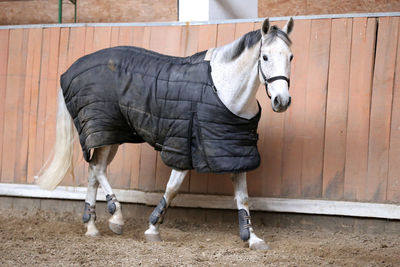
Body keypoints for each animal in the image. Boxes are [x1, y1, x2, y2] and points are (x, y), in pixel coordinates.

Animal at [37, 17, 294, 251]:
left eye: (290, 56)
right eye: (265, 57)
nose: (282, 101)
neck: (221, 88)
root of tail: (69, 71)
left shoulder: (234, 151)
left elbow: (243, 197)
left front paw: (253, 238)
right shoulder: (181, 148)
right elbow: (172, 189)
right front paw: (152, 229)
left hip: (109, 136)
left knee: (93, 172)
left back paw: (92, 226)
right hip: (104, 133)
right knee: (98, 169)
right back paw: (116, 217)